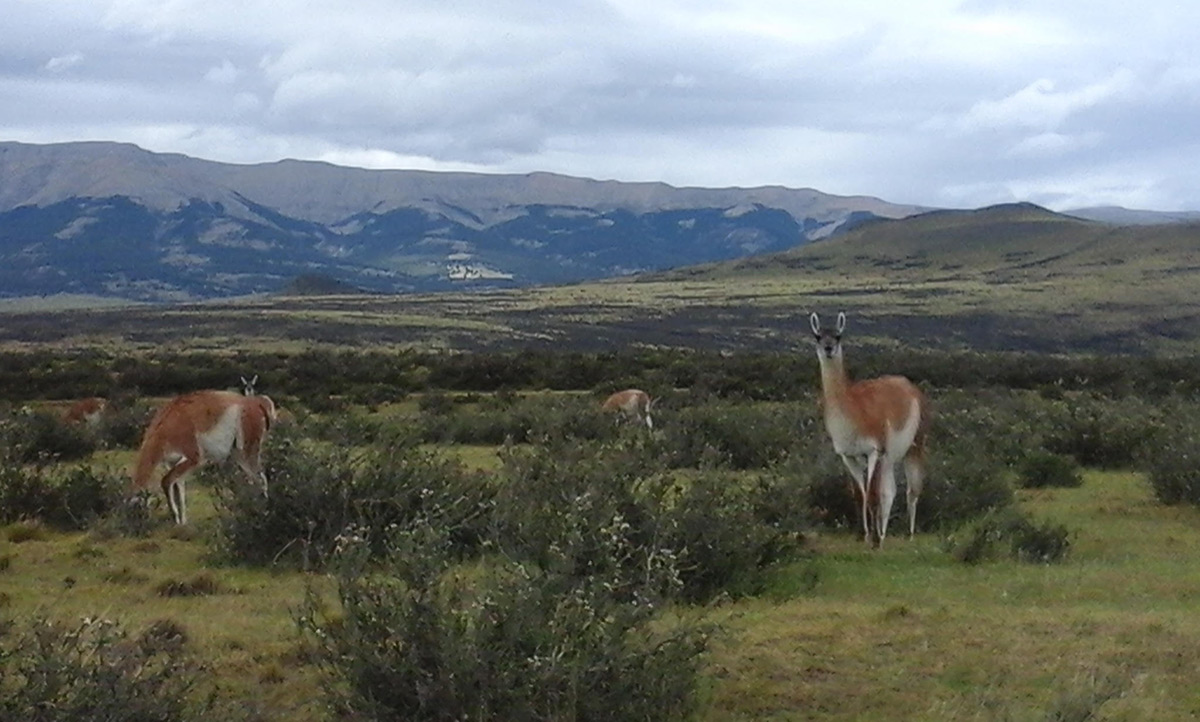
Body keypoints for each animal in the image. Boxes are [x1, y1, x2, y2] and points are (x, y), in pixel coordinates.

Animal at [131, 390, 277, 525]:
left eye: (138, 509)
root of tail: (258, 402)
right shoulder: (172, 462)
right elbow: (179, 488)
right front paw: (182, 523)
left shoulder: (194, 456)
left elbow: (166, 481)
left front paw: (176, 519)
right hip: (238, 453)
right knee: (255, 479)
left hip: (248, 446)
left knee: (261, 478)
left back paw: (263, 513)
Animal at [809, 312, 930, 548]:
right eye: (818, 336)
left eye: (838, 336)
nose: (828, 348)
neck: (853, 409)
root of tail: (909, 386)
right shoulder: (848, 455)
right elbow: (859, 494)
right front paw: (862, 535)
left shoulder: (874, 450)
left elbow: (872, 494)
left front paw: (873, 541)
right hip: (890, 457)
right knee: (890, 491)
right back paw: (882, 533)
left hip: (914, 446)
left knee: (912, 490)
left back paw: (908, 533)